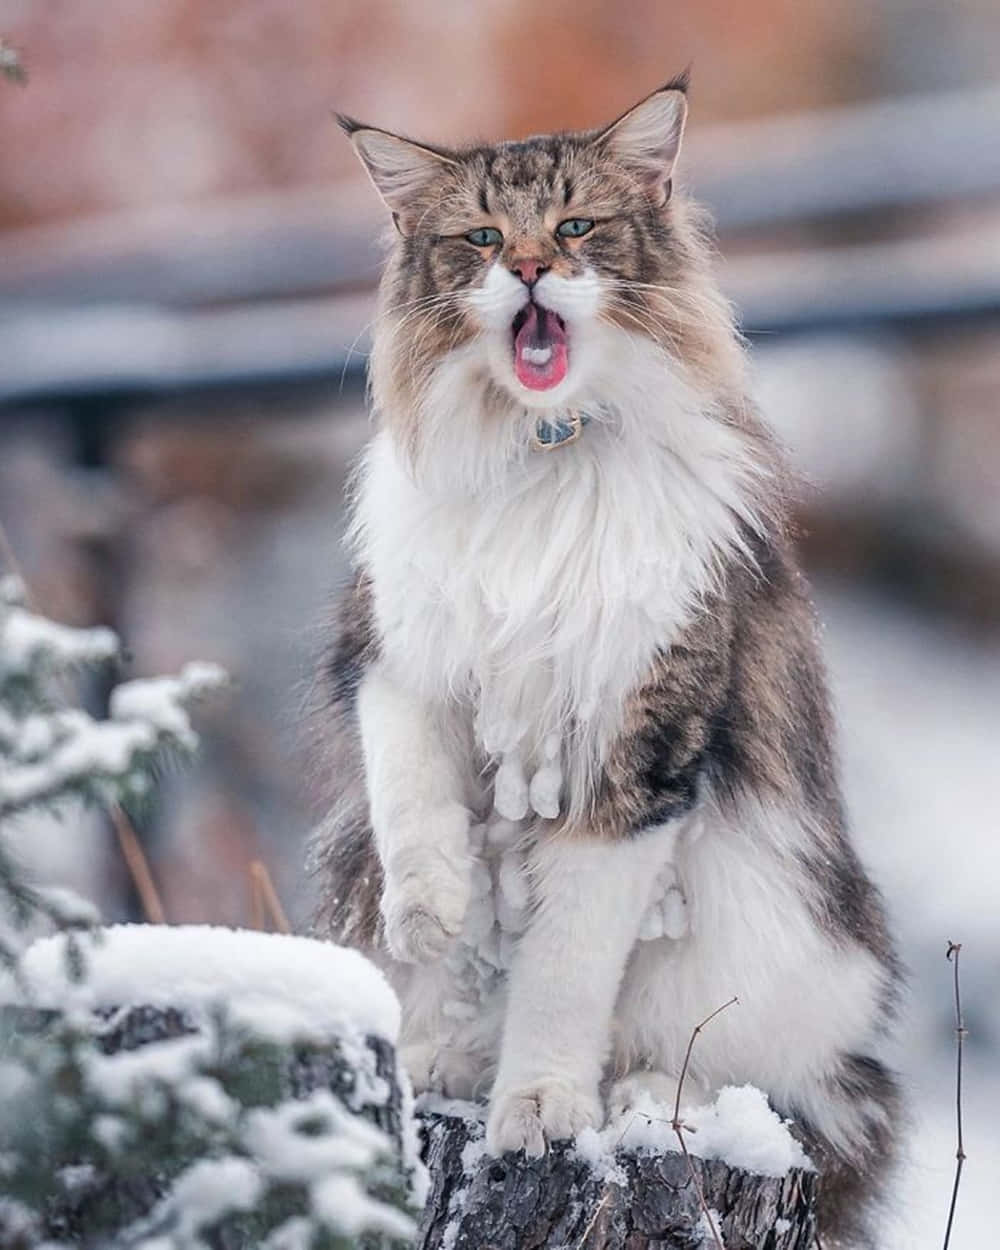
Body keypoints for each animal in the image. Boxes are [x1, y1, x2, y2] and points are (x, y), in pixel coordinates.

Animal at [310, 75, 900, 1240]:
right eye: (483, 237)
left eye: (576, 226)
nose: (533, 267)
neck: (544, 448)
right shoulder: (394, 654)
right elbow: (414, 805)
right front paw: (431, 907)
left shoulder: (639, 747)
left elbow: (564, 969)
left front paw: (541, 1107)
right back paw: (443, 1055)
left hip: (782, 953)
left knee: (748, 1074)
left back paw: (637, 1091)